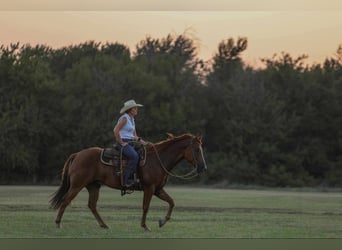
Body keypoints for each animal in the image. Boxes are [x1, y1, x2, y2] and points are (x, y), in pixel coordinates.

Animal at [49, 134, 207, 231]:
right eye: (196, 149)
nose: (203, 167)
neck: (157, 160)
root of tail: (77, 155)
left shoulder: (158, 189)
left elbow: (172, 202)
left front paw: (162, 221)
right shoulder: (149, 188)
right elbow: (145, 207)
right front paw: (145, 226)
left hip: (93, 186)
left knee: (92, 205)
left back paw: (104, 225)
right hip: (77, 185)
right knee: (65, 200)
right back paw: (57, 224)